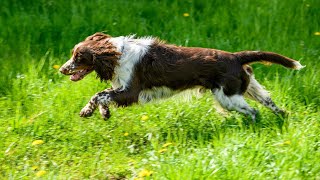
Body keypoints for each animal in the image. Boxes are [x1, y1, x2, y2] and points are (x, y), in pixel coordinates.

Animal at [60, 32, 304, 121]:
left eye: (78, 57)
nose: (62, 69)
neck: (117, 53)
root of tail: (235, 57)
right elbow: (102, 96)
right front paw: (102, 112)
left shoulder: (130, 91)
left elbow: (100, 94)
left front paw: (88, 110)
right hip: (247, 88)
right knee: (271, 103)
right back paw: (283, 118)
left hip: (228, 97)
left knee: (253, 111)